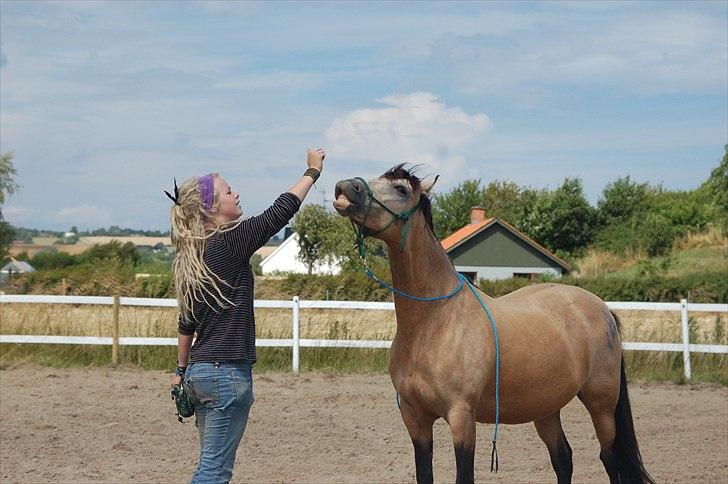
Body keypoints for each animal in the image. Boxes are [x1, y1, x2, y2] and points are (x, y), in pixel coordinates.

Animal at [332, 165, 656, 484]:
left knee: (609, 458)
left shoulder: (462, 417)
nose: (345, 186)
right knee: (563, 458)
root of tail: (602, 307)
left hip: (601, 404)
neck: (434, 324)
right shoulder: (415, 419)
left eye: (401, 189)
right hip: (546, 407)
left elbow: (464, 475)